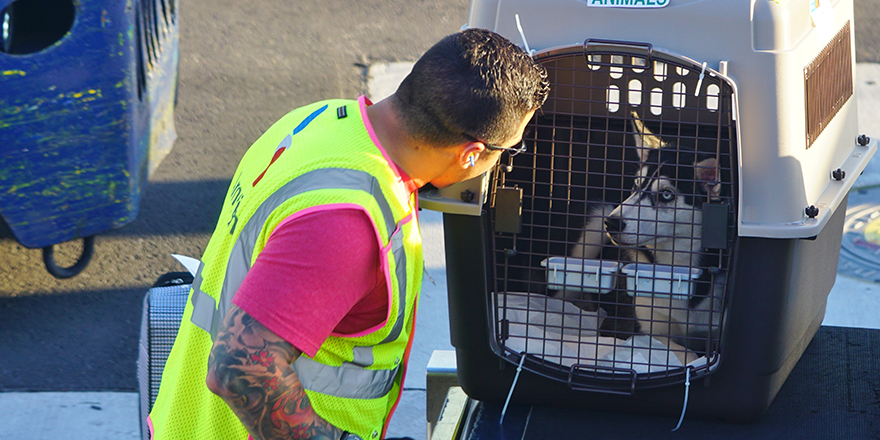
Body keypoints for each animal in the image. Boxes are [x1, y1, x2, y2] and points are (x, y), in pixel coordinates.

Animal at [560, 113, 724, 364]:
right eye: (636, 185)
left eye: (666, 194)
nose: (612, 223)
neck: (675, 267)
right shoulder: (631, 328)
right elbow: (684, 353)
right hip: (594, 223)